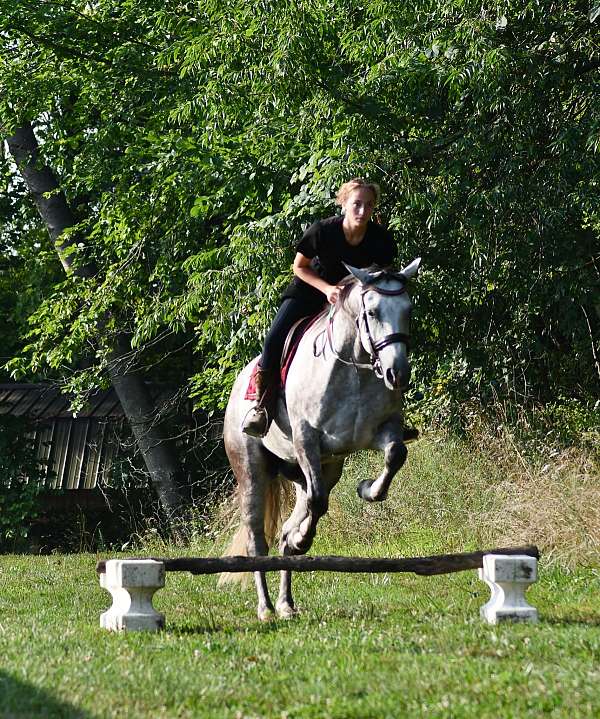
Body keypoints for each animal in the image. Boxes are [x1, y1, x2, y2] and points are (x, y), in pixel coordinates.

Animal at [221, 259, 421, 620]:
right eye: (372, 312)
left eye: (408, 310)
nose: (397, 374)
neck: (354, 368)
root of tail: (238, 385)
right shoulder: (307, 440)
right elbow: (317, 503)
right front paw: (303, 540)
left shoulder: (379, 432)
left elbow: (395, 454)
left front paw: (367, 489)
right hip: (251, 469)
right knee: (258, 537)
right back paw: (266, 608)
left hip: (317, 469)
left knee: (287, 527)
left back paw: (286, 604)